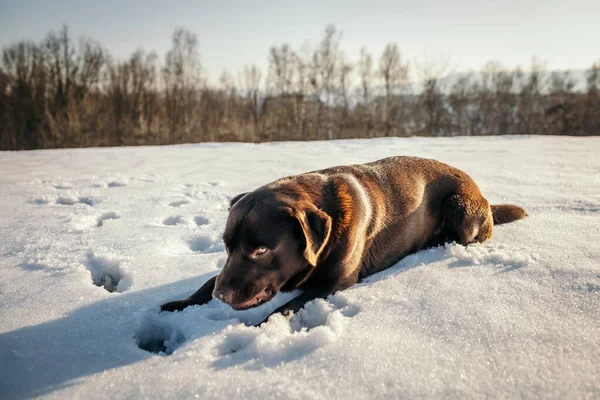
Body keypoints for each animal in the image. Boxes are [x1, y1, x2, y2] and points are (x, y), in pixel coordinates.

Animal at [162, 157, 528, 324]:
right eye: (226, 247)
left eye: (261, 249)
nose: (222, 297)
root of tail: (482, 195)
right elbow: (205, 282)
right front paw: (178, 303)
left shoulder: (334, 282)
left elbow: (285, 308)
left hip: (461, 209)